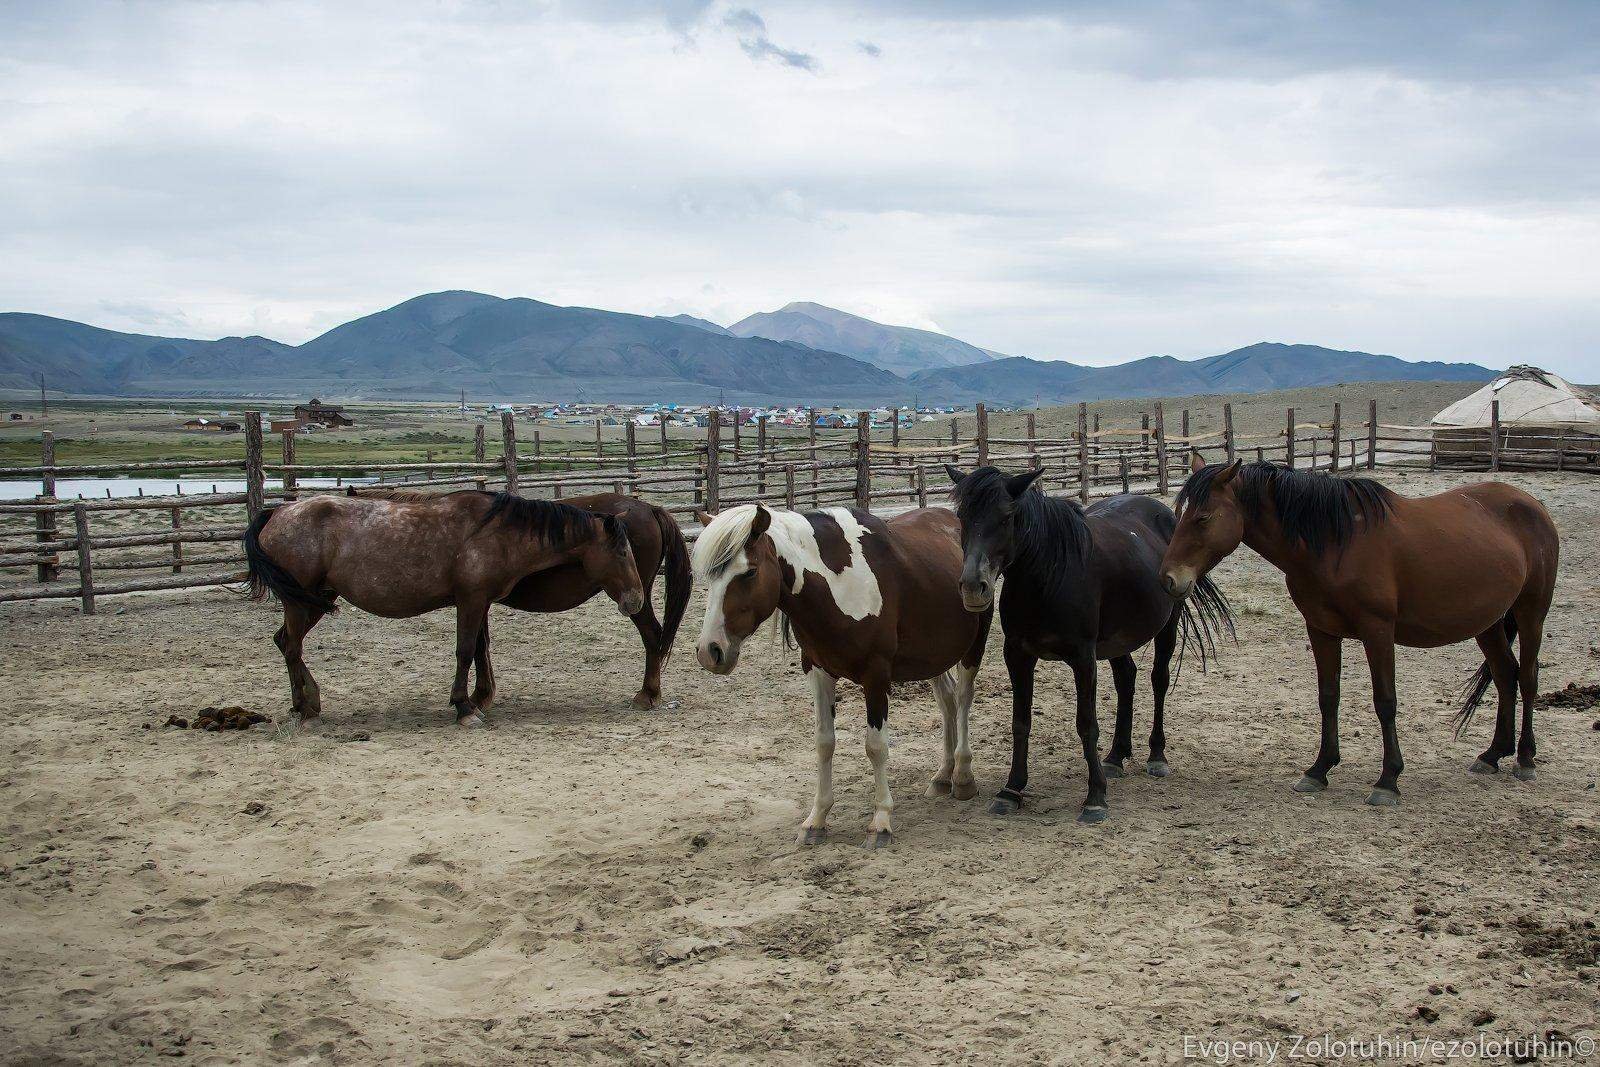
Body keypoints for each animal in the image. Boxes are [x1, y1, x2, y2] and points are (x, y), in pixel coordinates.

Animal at [353, 489, 691, 710]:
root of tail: (651, 508)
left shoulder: (474, 600)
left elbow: (473, 647)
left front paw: (475, 699)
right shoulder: (479, 601)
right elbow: (480, 646)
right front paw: (482, 695)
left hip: (635, 599)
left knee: (653, 635)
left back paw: (648, 694)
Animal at [694, 505, 992, 844]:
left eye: (749, 572)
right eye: (710, 576)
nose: (710, 651)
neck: (836, 584)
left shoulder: (876, 676)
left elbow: (876, 746)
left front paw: (880, 822)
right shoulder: (818, 671)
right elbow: (824, 742)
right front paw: (816, 820)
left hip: (972, 646)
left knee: (964, 698)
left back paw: (963, 776)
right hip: (933, 655)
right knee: (947, 700)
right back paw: (943, 776)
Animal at [940, 467, 1228, 825]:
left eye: (1006, 517)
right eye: (962, 516)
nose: (972, 587)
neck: (1047, 577)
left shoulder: (1083, 659)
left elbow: (1087, 724)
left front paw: (1095, 797)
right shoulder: (1017, 655)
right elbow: (1020, 722)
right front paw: (1011, 790)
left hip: (1167, 626)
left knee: (1158, 681)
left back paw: (1156, 755)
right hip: (1118, 640)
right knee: (1126, 678)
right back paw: (1116, 756)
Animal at [1164, 454, 1561, 806]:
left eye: (1202, 517)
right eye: (1180, 515)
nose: (1169, 579)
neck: (1335, 542)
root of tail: (1532, 504)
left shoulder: (1378, 631)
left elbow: (1385, 702)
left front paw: (1388, 780)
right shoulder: (1321, 630)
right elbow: (1328, 697)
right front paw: (1319, 770)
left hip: (1531, 612)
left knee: (1527, 678)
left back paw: (1525, 758)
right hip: (1488, 623)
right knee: (1505, 675)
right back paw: (1492, 755)